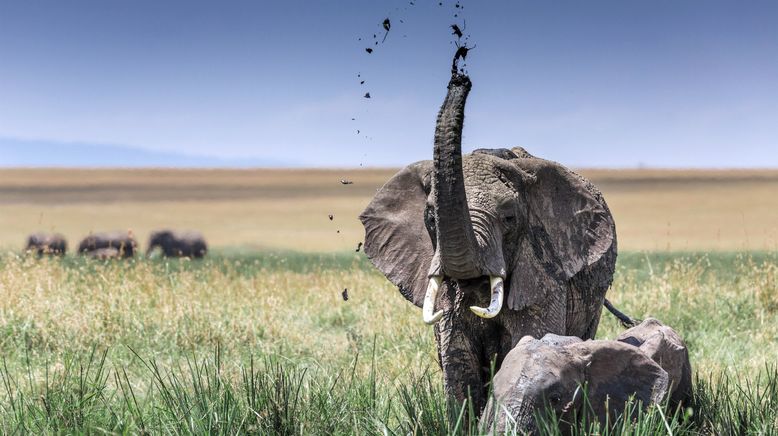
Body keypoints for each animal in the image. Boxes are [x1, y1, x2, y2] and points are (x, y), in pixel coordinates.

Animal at [360, 72, 620, 412]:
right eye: (431, 217)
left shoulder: (541, 273)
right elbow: (459, 364)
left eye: (509, 218)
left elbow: (527, 345)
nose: (460, 79)